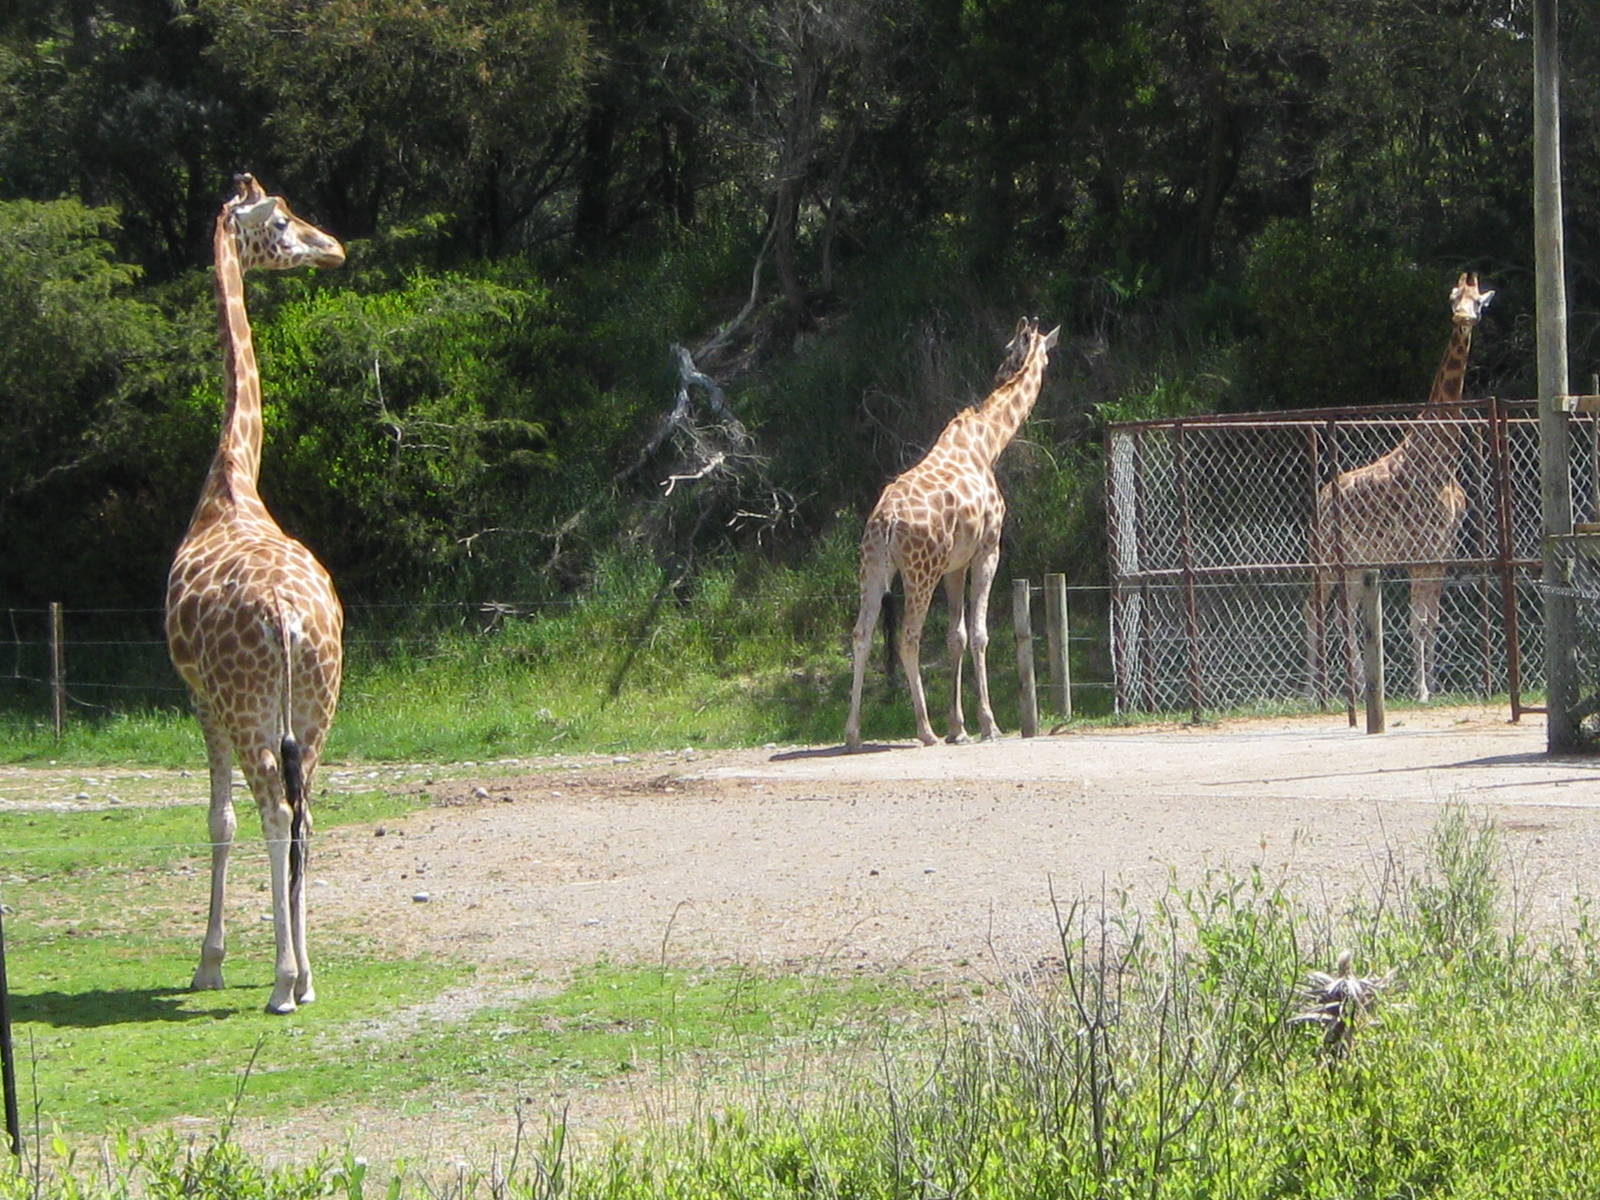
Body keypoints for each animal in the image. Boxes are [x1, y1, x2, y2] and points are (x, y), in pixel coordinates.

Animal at [845, 317, 1059, 750]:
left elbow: (954, 637)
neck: (989, 443)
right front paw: (988, 725)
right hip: (919, 571)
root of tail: (885, 523)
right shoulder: (987, 550)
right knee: (909, 637)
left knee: (861, 634)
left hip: (873, 566)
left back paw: (853, 733)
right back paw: (924, 730)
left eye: (1008, 348)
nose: (1000, 373)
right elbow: (978, 634)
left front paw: (958, 727)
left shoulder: (954, 565)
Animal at [1306, 272, 1494, 704]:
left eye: (1478, 302)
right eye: (1453, 298)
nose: (1463, 319)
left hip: (1358, 562)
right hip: (1328, 554)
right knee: (1316, 610)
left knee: (1345, 612)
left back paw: (1354, 685)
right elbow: (1416, 620)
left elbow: (1432, 619)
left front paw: (1433, 686)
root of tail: (1323, 496)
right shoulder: (1418, 551)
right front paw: (1421, 690)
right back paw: (1315, 693)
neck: (1439, 458)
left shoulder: (1441, 552)